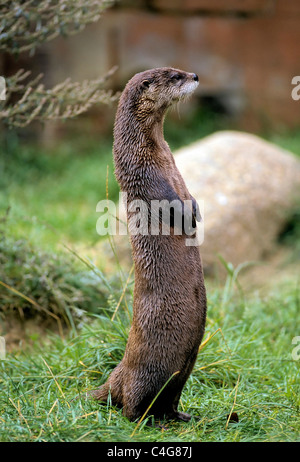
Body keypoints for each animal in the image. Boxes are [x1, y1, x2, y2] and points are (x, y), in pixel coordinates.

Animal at [92, 67, 207, 422]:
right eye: (174, 76)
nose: (195, 75)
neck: (157, 152)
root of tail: (116, 374)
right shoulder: (145, 174)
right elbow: (167, 200)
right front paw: (187, 217)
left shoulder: (174, 169)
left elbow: (189, 193)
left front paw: (196, 210)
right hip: (149, 367)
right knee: (131, 403)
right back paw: (148, 420)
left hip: (185, 366)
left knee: (169, 396)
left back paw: (180, 416)